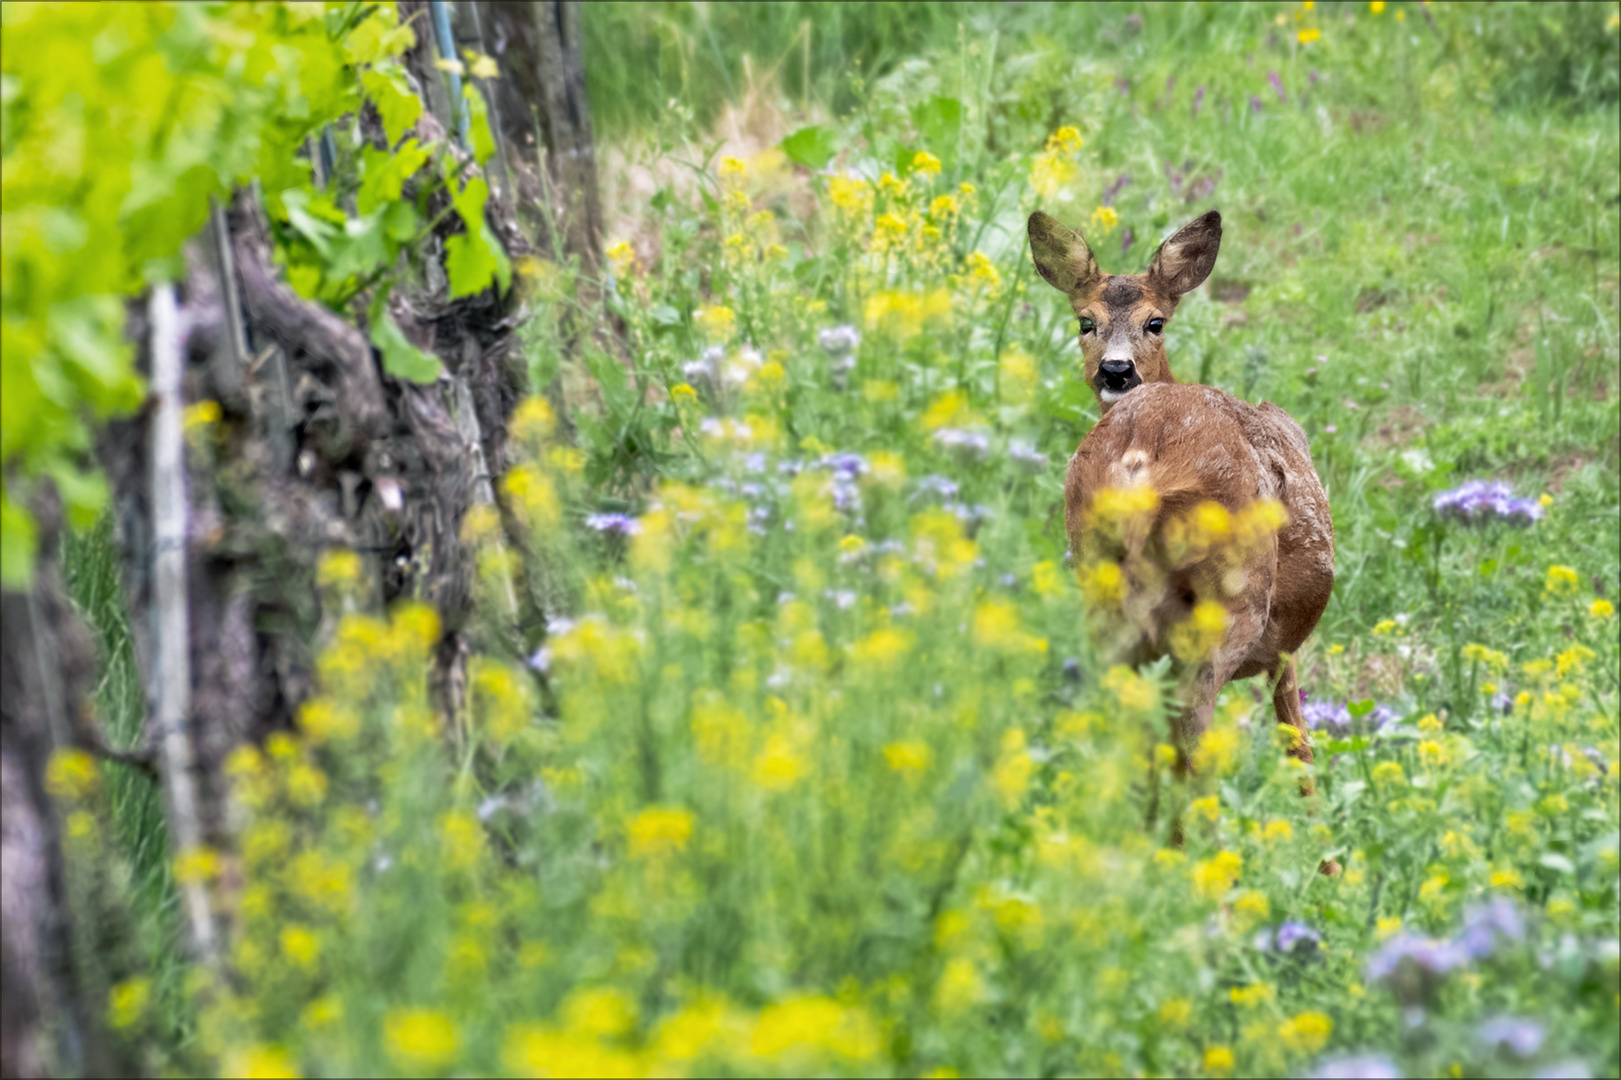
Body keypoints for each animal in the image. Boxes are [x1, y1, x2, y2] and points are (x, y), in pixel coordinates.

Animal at [1030, 205, 1335, 788]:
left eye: (1156, 322)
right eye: (1086, 322)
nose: (1116, 370)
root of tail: (1137, 460)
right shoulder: (1285, 649)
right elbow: (1299, 746)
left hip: (1097, 579)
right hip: (1228, 607)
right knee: (1193, 747)